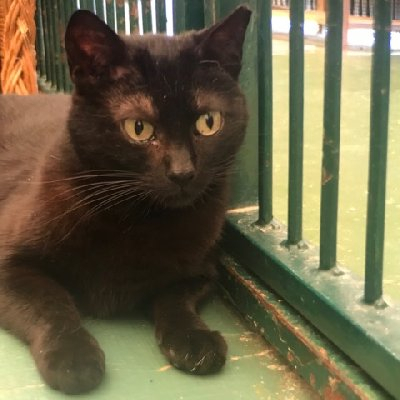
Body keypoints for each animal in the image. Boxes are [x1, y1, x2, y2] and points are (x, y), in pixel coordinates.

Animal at [0, 6, 250, 394]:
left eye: (209, 122)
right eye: (138, 128)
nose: (183, 172)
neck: (137, 219)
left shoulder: (202, 270)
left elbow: (176, 298)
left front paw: (194, 338)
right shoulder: (9, 265)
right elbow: (51, 304)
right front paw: (73, 356)